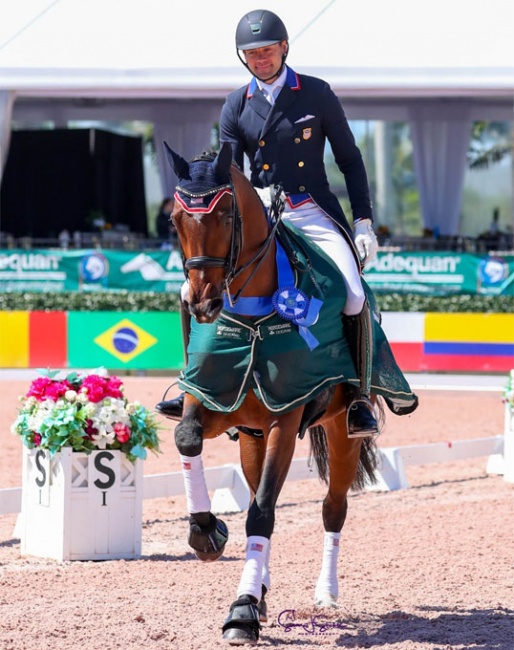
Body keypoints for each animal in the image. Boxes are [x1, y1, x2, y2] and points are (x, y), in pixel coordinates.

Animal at [160, 142, 416, 644]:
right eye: (176, 221)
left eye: (226, 216)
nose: (203, 303)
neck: (252, 315)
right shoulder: (212, 396)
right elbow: (187, 439)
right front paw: (207, 534)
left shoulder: (286, 414)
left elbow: (262, 514)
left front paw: (241, 612)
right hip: (251, 437)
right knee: (260, 486)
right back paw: (260, 586)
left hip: (338, 431)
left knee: (332, 508)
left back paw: (324, 592)